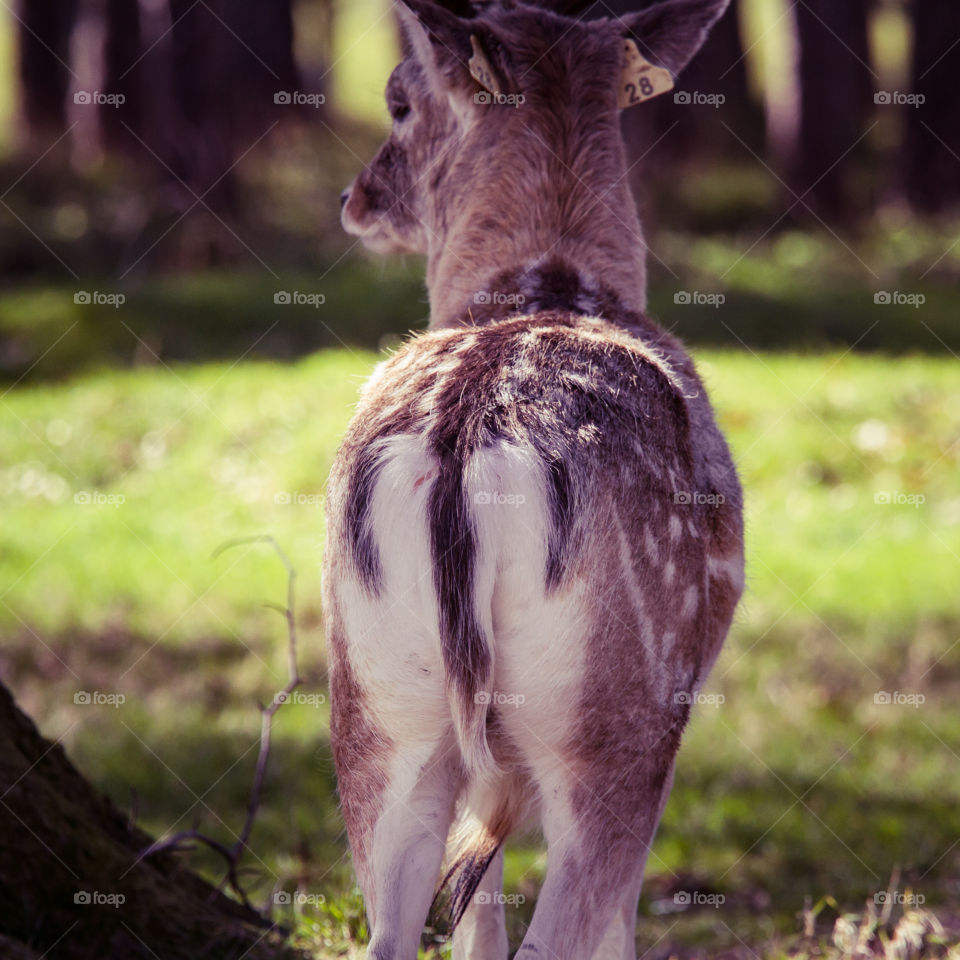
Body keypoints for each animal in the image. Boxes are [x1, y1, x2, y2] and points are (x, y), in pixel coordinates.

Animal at [322, 0, 744, 956]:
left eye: (397, 101)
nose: (353, 198)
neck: (547, 281)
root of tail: (459, 444)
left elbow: (477, 914)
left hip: (377, 700)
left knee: (391, 925)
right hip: (613, 716)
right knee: (572, 924)